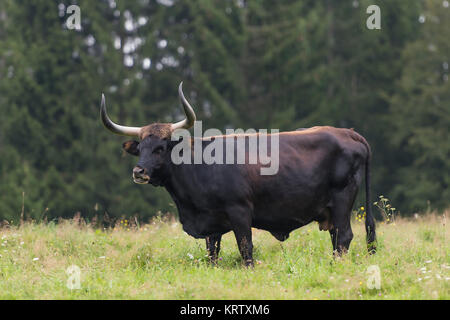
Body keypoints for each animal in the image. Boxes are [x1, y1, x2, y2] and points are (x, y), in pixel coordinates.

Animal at [99, 81, 376, 266]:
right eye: (141, 149)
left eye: (160, 148)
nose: (139, 171)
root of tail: (348, 132)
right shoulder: (211, 225)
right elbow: (212, 254)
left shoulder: (240, 212)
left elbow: (246, 249)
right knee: (337, 237)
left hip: (342, 200)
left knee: (344, 237)